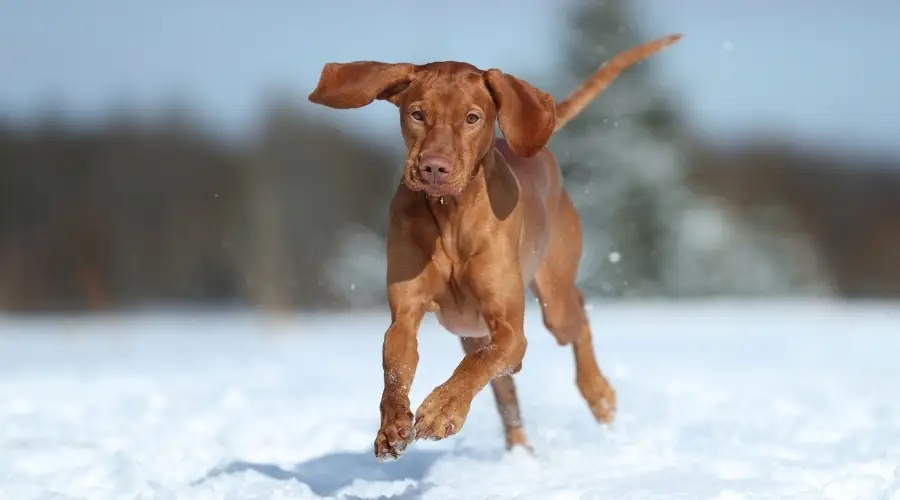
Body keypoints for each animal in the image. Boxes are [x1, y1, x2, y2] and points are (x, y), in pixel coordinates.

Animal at [310, 33, 684, 458]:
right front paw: (391, 426)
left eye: (472, 118)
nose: (433, 167)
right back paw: (519, 453)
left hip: (554, 302)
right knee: (506, 395)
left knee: (575, 315)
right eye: (417, 114)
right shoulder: (405, 317)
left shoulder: (510, 331)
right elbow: (396, 369)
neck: (450, 214)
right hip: (475, 332)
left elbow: (478, 364)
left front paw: (442, 409)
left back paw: (598, 392)